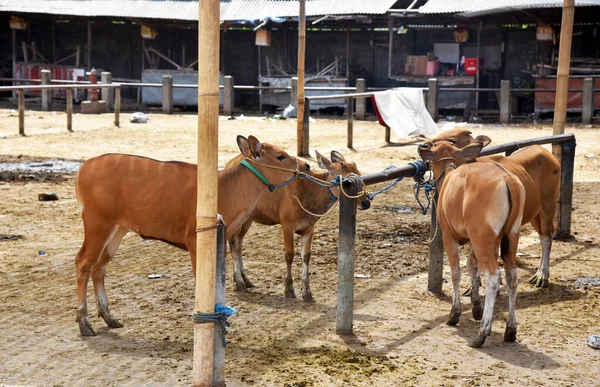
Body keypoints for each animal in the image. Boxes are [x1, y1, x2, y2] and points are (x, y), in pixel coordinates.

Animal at [75, 136, 310, 336]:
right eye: (280, 155)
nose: (306, 166)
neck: (227, 187)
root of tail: (83, 169)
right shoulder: (194, 239)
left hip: (118, 229)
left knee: (99, 267)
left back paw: (109, 318)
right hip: (98, 224)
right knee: (83, 263)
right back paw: (84, 323)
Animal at [224, 150, 368, 302]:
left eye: (359, 175)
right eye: (345, 181)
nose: (366, 202)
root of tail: (229, 164)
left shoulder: (309, 229)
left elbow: (306, 257)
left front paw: (307, 293)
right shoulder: (286, 225)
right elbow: (289, 255)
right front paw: (289, 290)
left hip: (248, 219)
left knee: (239, 243)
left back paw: (245, 280)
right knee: (233, 243)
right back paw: (240, 283)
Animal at [420, 141, 524, 348]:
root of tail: (508, 179)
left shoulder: (449, 237)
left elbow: (456, 273)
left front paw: (454, 314)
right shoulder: (474, 242)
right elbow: (472, 267)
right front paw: (476, 308)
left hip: (483, 239)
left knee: (493, 278)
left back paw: (481, 334)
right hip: (510, 238)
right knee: (512, 277)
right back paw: (510, 330)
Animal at [428, 130, 560, 288]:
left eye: (453, 140)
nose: (426, 145)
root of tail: (545, 152)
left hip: (548, 204)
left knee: (547, 236)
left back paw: (542, 275)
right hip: (534, 213)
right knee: (542, 235)